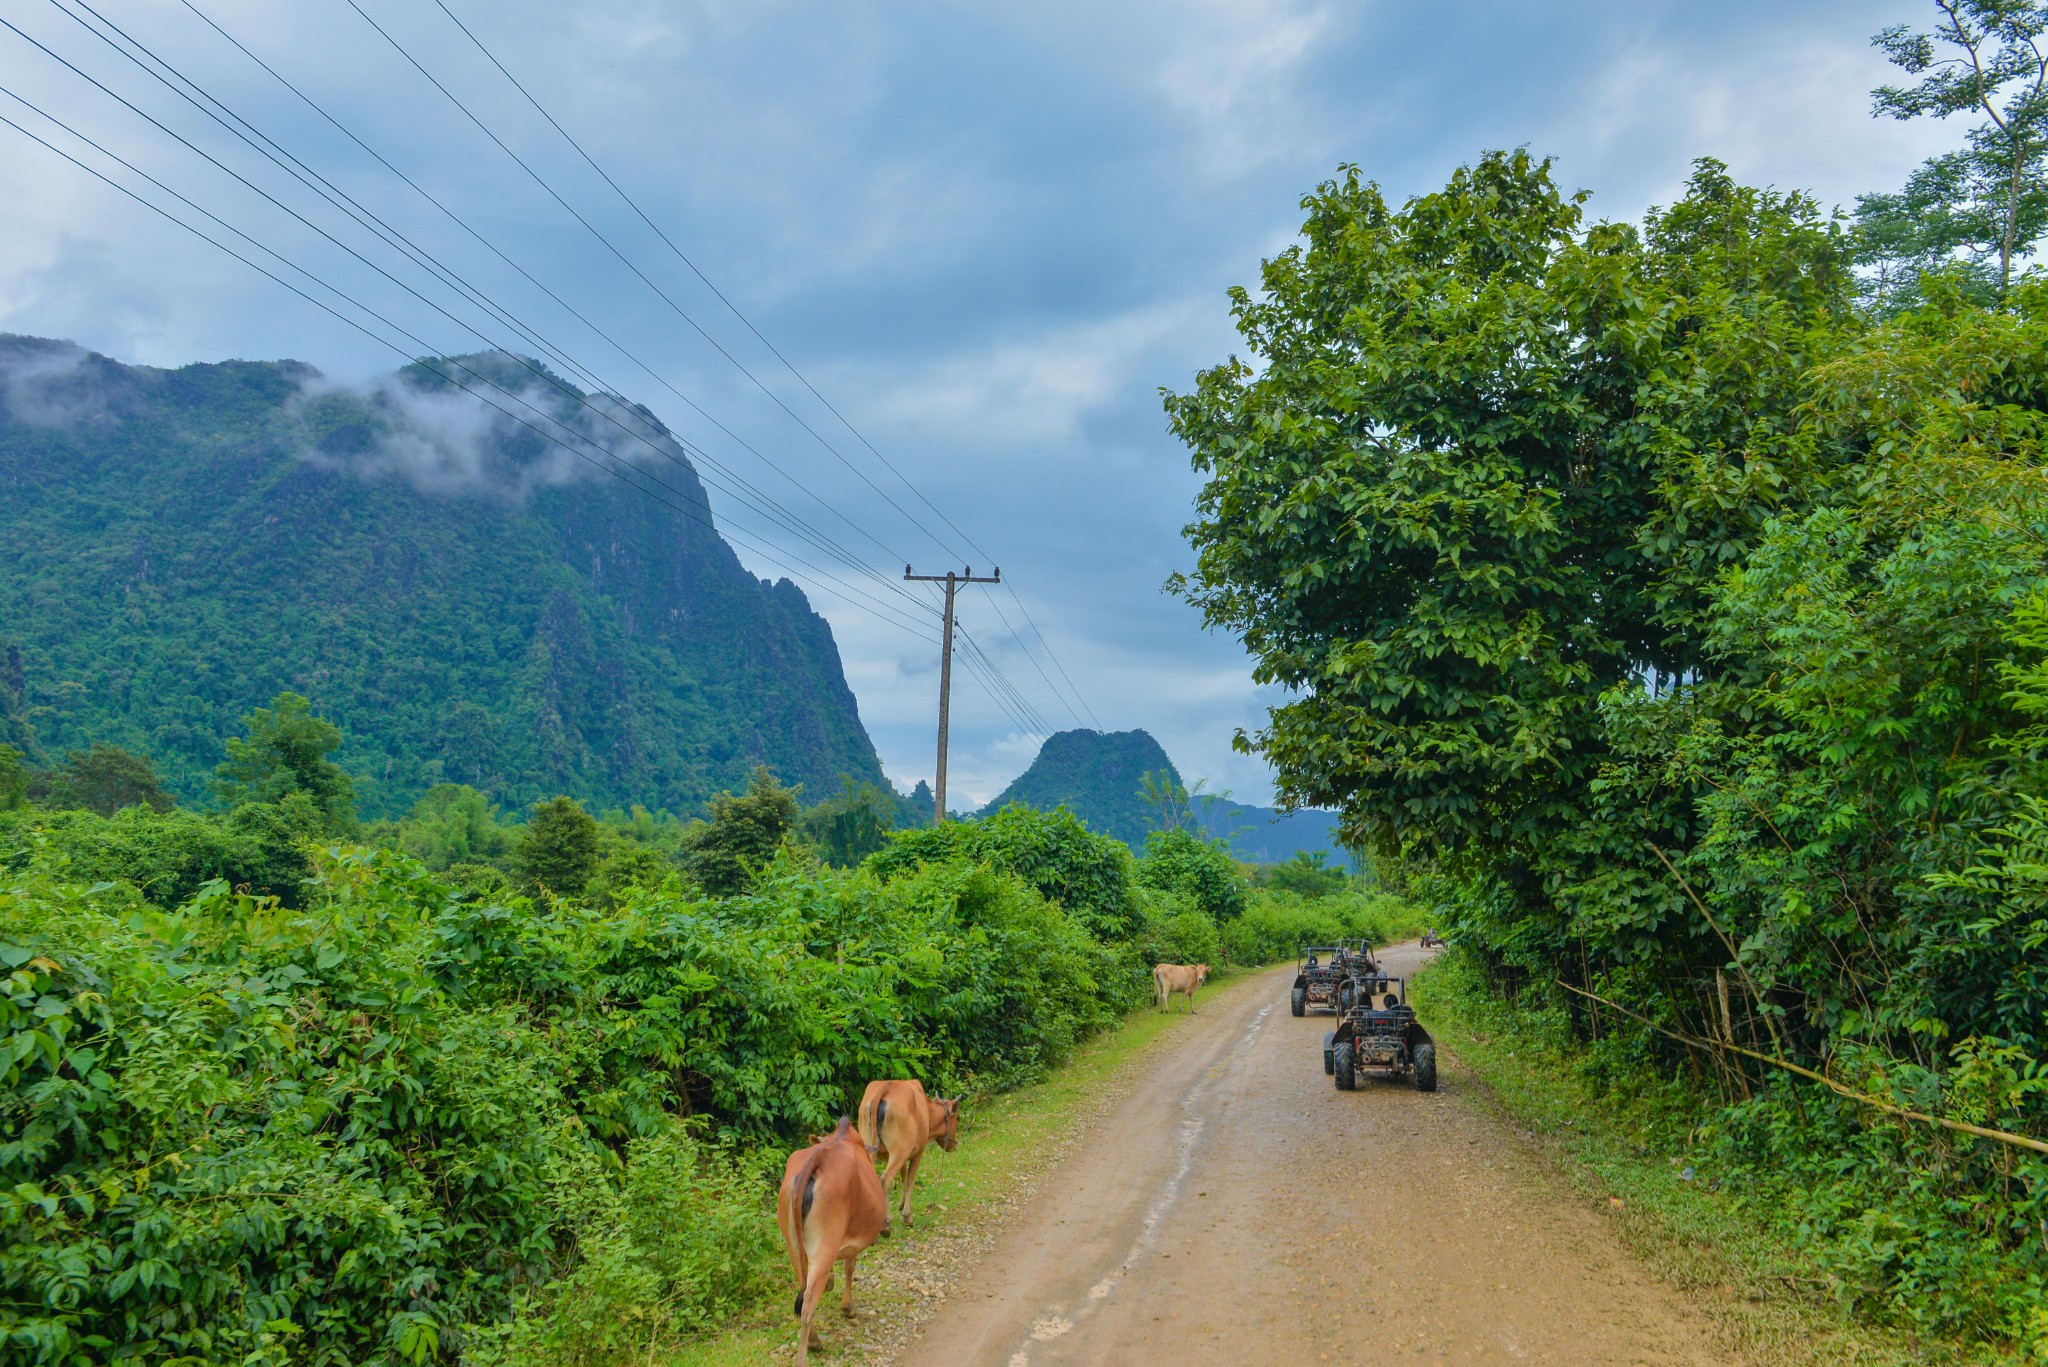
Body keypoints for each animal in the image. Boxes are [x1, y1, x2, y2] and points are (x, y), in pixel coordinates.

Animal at [774, 1114, 888, 1360]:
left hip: (793, 1244)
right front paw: (848, 1308)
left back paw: (814, 1340)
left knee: (803, 1287)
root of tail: (817, 1159)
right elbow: (849, 1267)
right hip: (825, 1244)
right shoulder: (853, 1239)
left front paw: (831, 1283)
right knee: (807, 1303)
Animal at [851, 1082, 954, 1237]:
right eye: (957, 1117)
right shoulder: (916, 1152)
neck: (926, 1108)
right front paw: (907, 1217)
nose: (954, 1145)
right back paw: (885, 1225)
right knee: (884, 1180)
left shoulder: (900, 1156)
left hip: (871, 1148)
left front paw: (901, 1204)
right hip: (898, 1152)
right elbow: (910, 1179)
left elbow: (903, 1176)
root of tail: (885, 1087)